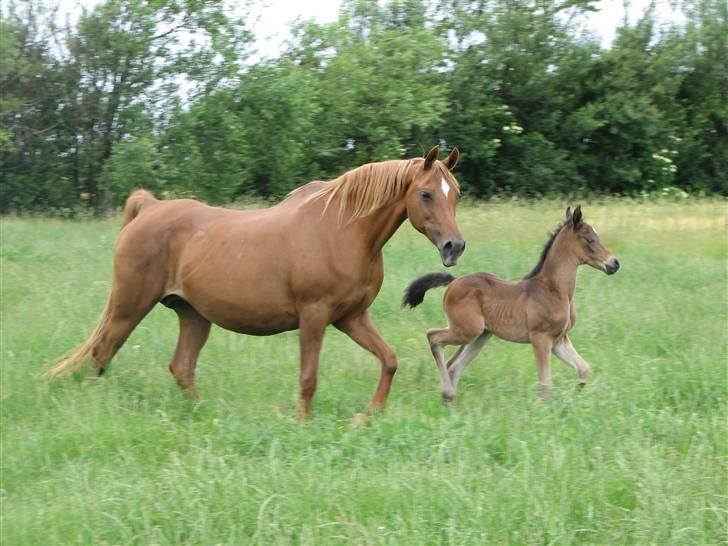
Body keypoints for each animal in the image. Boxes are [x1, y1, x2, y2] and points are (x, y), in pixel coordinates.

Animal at [404, 206, 620, 398]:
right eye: (590, 239)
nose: (614, 263)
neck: (555, 290)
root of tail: (453, 281)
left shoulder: (559, 340)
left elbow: (584, 370)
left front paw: (571, 402)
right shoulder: (540, 338)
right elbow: (545, 385)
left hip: (481, 335)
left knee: (454, 366)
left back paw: (450, 401)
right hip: (467, 330)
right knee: (433, 337)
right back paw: (447, 393)